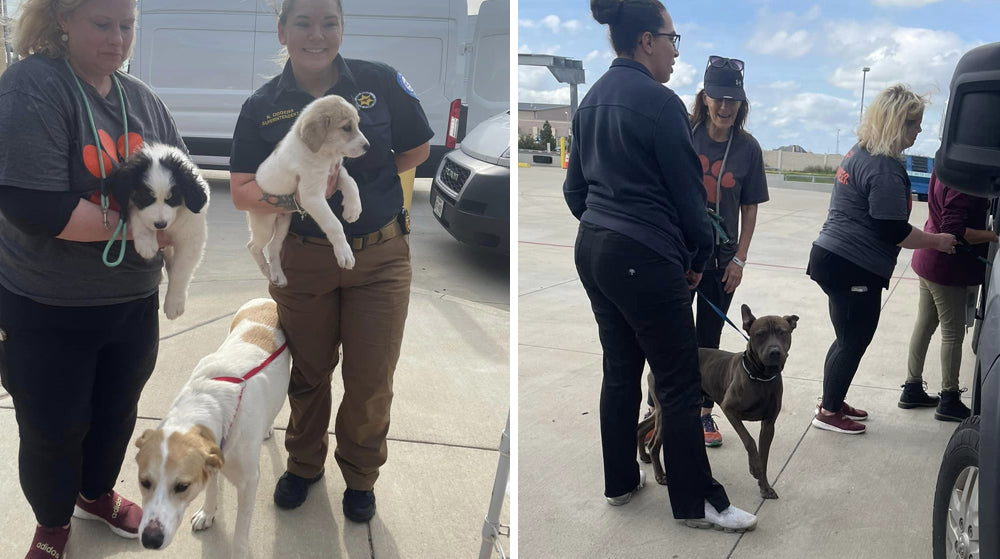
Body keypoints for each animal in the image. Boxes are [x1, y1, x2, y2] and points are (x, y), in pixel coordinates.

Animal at [110, 142, 208, 322]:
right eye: (146, 198)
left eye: (172, 198)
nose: (160, 224)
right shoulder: (134, 206)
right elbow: (137, 214)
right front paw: (146, 243)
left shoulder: (190, 237)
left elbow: (180, 271)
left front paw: (174, 303)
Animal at [133, 300, 290, 559]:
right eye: (144, 482)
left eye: (182, 487)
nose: (150, 540)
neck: (210, 403)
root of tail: (266, 299)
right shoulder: (215, 450)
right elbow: (210, 486)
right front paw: (207, 513)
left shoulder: (249, 482)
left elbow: (240, 533)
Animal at [246, 94, 372, 284]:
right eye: (346, 127)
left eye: (357, 124)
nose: (368, 146)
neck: (324, 154)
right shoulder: (311, 196)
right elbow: (334, 224)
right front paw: (344, 252)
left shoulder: (335, 171)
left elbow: (351, 182)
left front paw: (353, 209)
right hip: (264, 225)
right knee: (253, 246)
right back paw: (267, 271)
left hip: (283, 221)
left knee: (274, 246)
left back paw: (278, 275)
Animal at [644, 306, 800, 498]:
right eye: (760, 334)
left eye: (782, 332)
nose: (775, 352)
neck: (761, 377)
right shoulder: (730, 410)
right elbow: (749, 441)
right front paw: (754, 467)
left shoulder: (768, 425)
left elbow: (764, 457)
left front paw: (764, 486)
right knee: (653, 445)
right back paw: (660, 475)